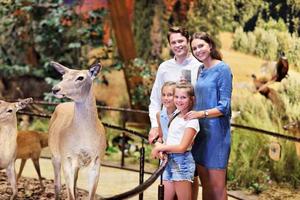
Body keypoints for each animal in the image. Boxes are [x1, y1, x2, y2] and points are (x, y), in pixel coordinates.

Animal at [48, 61, 106, 200]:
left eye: (80, 77)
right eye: (63, 76)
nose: (55, 89)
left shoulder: (97, 160)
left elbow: (91, 195)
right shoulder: (67, 157)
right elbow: (70, 194)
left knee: (74, 184)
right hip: (54, 155)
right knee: (57, 185)